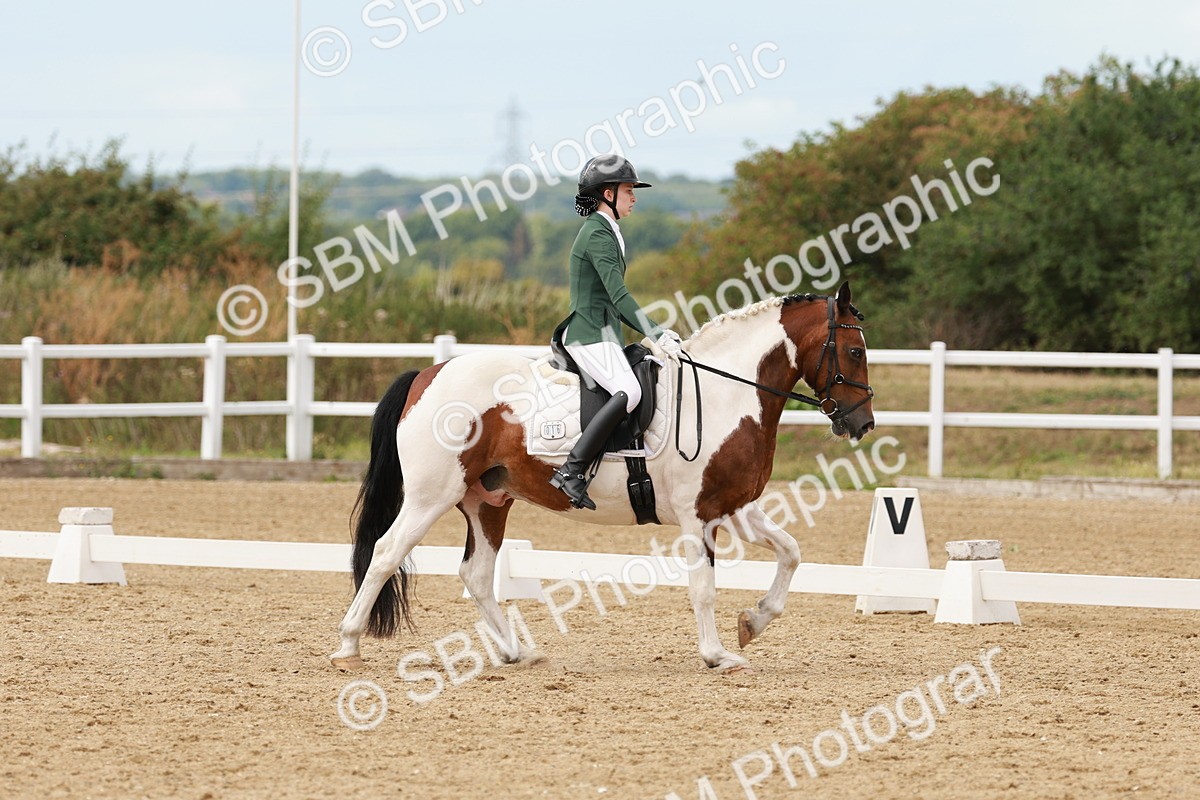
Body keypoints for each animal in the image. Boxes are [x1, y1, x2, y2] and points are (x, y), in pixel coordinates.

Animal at [331, 281, 875, 673]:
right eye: (854, 352)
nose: (862, 423)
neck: (727, 394)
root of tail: (428, 373)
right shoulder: (698, 515)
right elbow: (703, 586)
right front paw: (718, 655)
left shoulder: (733, 506)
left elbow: (791, 552)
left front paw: (752, 623)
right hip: (430, 496)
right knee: (386, 553)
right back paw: (348, 647)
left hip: (487, 500)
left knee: (477, 574)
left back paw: (515, 653)